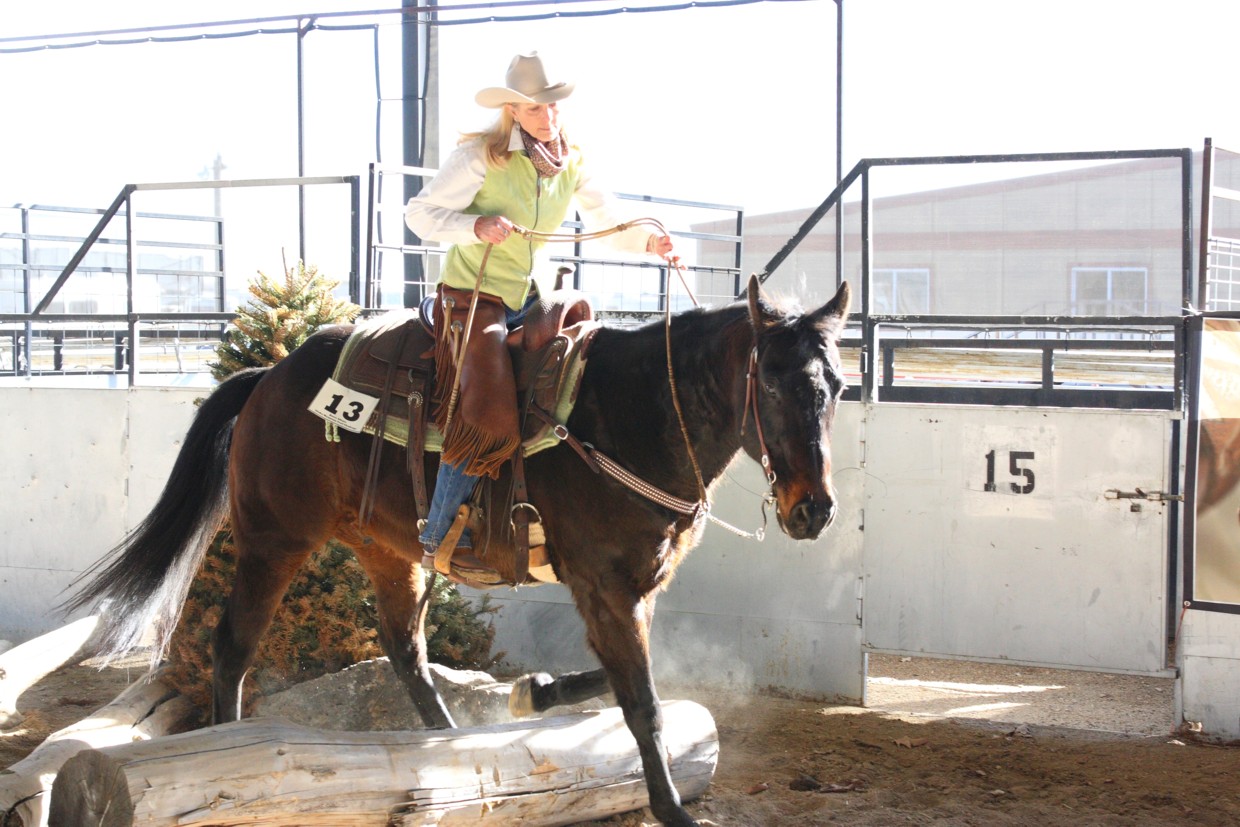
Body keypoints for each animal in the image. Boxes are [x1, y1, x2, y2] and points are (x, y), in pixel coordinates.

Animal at [65, 274, 852, 827]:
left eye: (839, 386)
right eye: (772, 383)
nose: (813, 509)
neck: (631, 414)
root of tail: (269, 379)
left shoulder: (637, 586)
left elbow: (624, 679)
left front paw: (536, 691)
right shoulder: (606, 585)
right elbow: (643, 701)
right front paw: (673, 808)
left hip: (390, 552)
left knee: (405, 650)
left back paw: (447, 746)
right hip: (273, 538)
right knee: (233, 644)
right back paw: (232, 745)